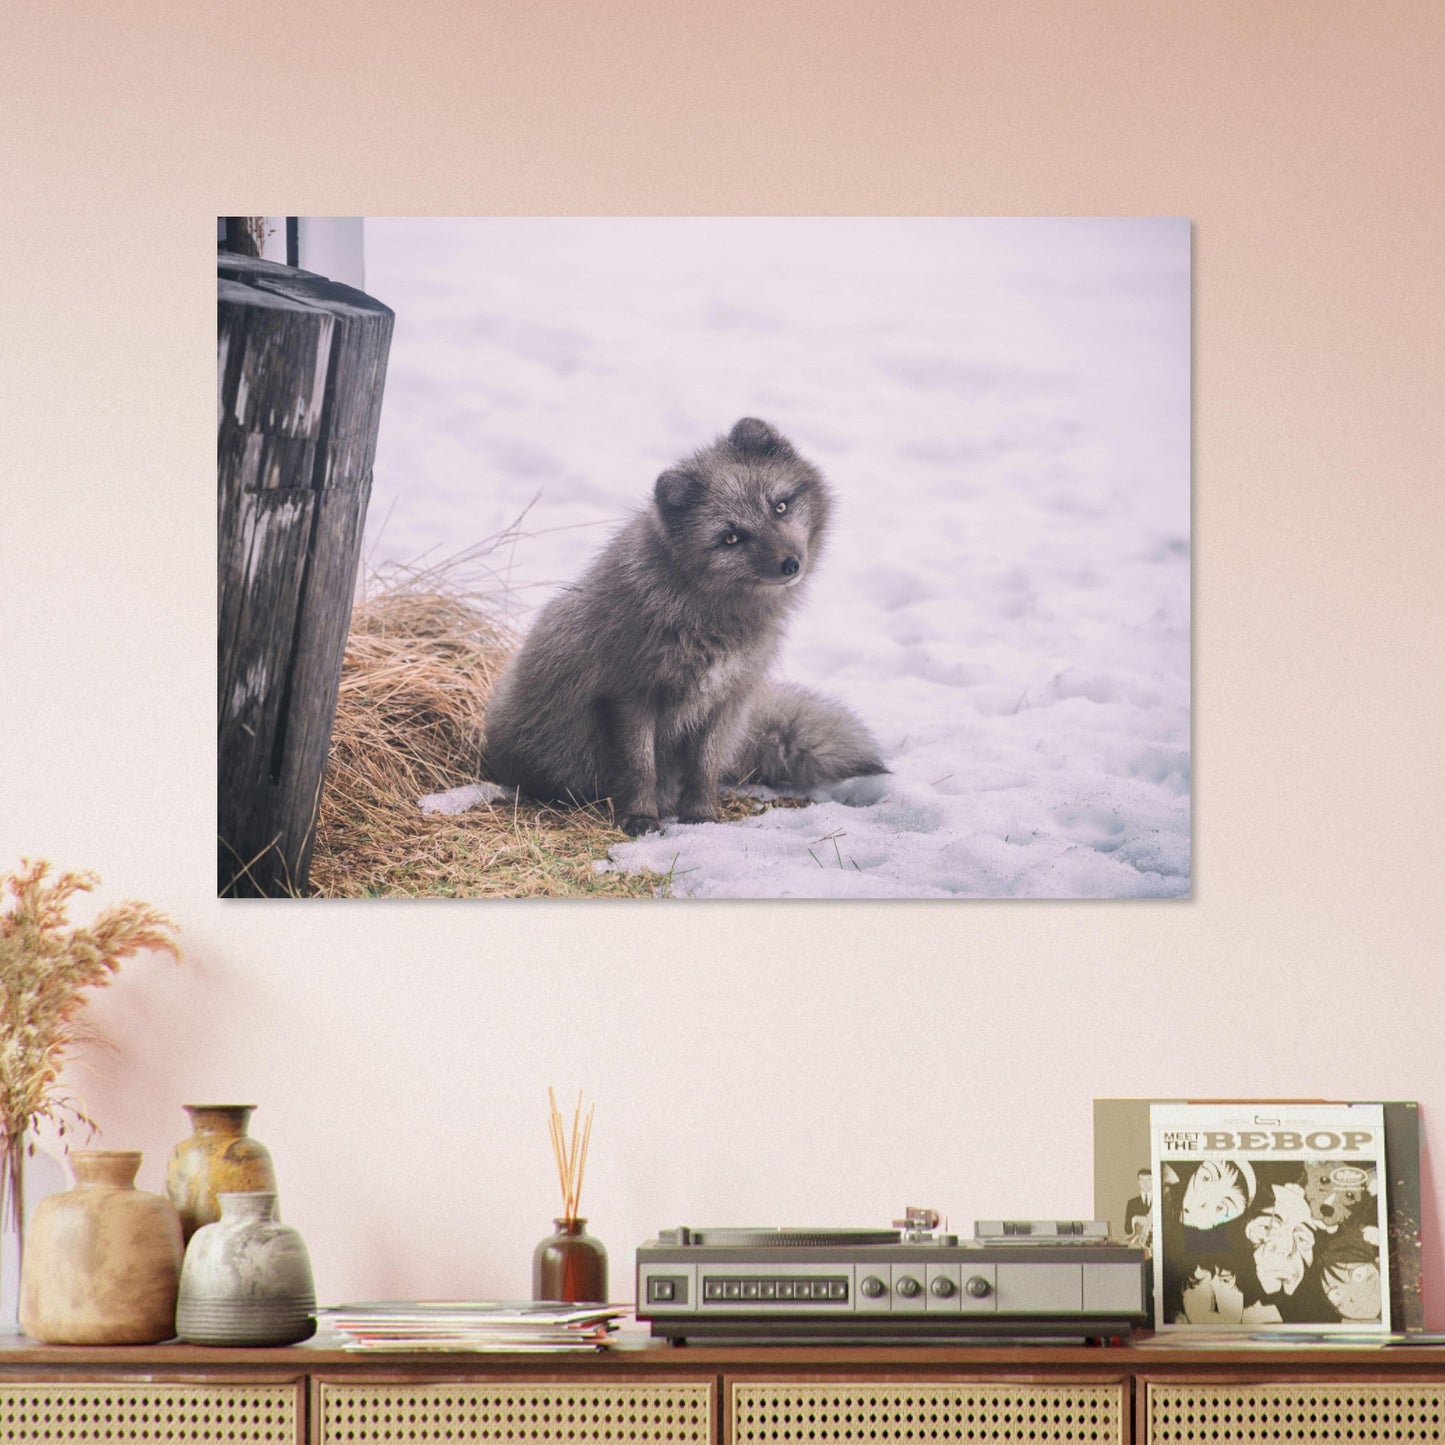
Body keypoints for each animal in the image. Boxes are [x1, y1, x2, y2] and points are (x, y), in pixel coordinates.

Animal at [482, 417, 886, 835]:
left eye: (780, 506)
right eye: (731, 537)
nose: (791, 564)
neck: (709, 619)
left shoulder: (724, 698)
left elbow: (704, 767)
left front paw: (702, 817)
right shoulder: (631, 694)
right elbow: (640, 767)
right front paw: (641, 818)